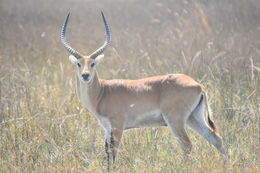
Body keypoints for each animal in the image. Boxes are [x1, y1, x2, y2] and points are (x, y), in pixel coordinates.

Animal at [60, 11, 226, 168]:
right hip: (194, 118)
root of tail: (198, 85)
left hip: (176, 121)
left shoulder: (118, 126)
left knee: (187, 145)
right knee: (215, 138)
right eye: (79, 64)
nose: (85, 75)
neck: (103, 92)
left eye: (93, 63)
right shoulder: (107, 129)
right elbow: (107, 153)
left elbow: (114, 152)